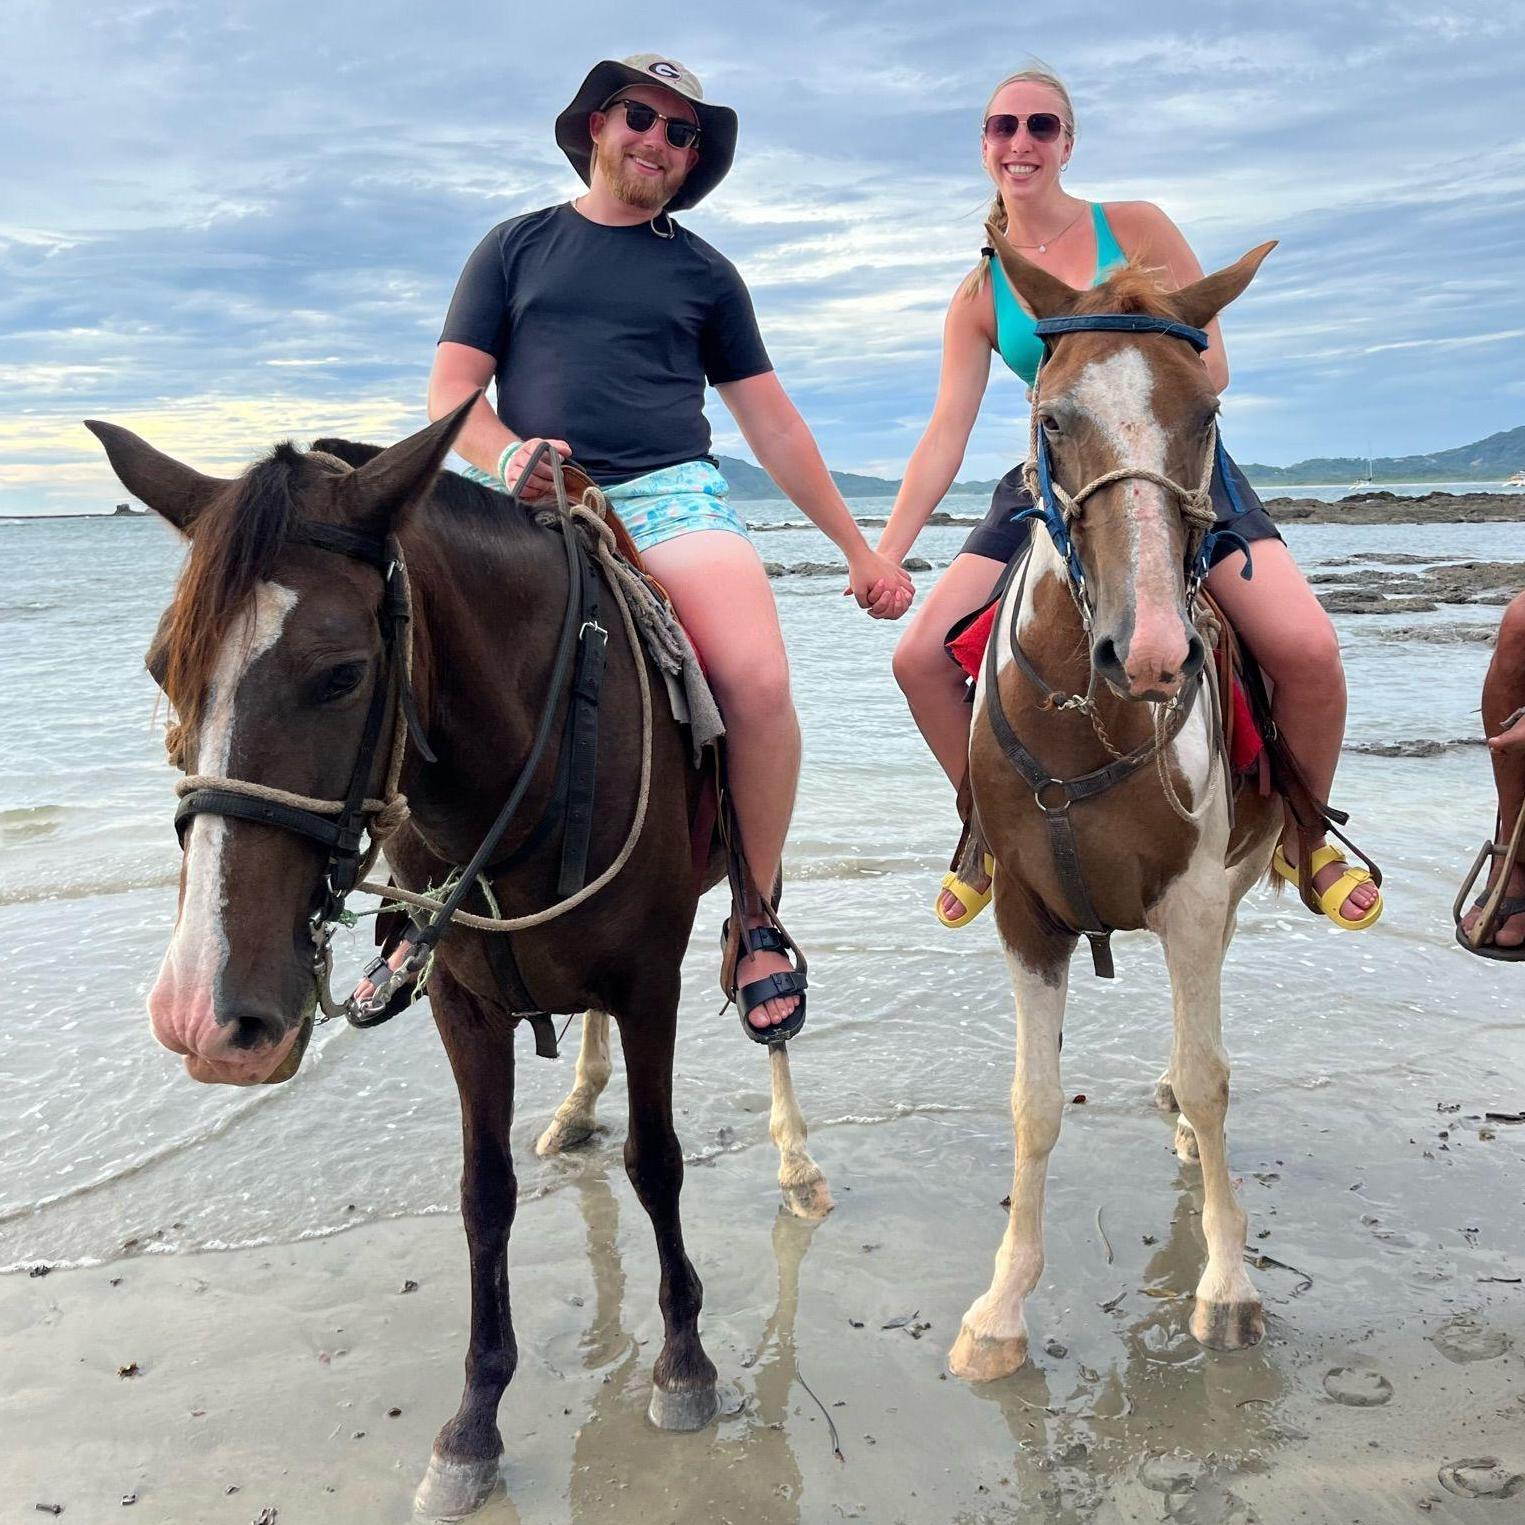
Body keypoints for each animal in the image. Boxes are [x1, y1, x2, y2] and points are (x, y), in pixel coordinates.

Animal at [86, 400, 831, 1519]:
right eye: (160, 666)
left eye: (342, 672)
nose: (201, 1015)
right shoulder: (462, 1003)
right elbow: (483, 1195)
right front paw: (474, 1420)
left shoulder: (649, 980)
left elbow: (655, 1161)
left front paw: (684, 1361)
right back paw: (575, 1106)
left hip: (748, 886)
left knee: (762, 977)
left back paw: (792, 1153)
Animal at [945, 231, 1286, 1383]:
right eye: (1053, 418)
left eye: (1208, 413)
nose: (1150, 654)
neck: (1086, 719)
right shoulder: (1025, 916)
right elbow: (1033, 1102)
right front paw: (1001, 1305)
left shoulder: (1190, 900)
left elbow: (1216, 1077)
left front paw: (1227, 1285)